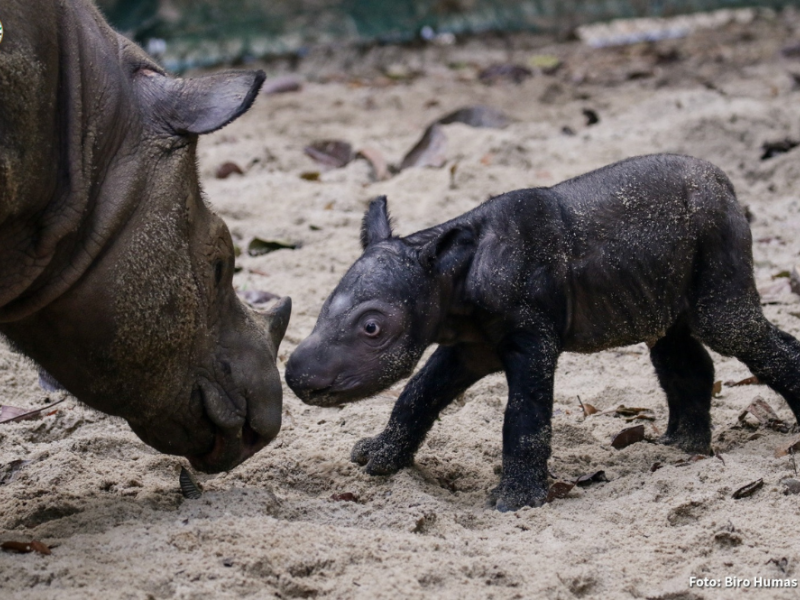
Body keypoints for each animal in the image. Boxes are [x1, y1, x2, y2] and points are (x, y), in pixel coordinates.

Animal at [284, 155, 800, 510]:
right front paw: (378, 459)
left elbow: (524, 415)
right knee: (672, 343)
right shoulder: (469, 343)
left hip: (716, 230)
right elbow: (419, 393)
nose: (296, 377)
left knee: (728, 327)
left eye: (372, 328)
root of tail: (725, 182)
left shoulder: (531, 337)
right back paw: (682, 448)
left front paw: (515, 502)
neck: (448, 274)